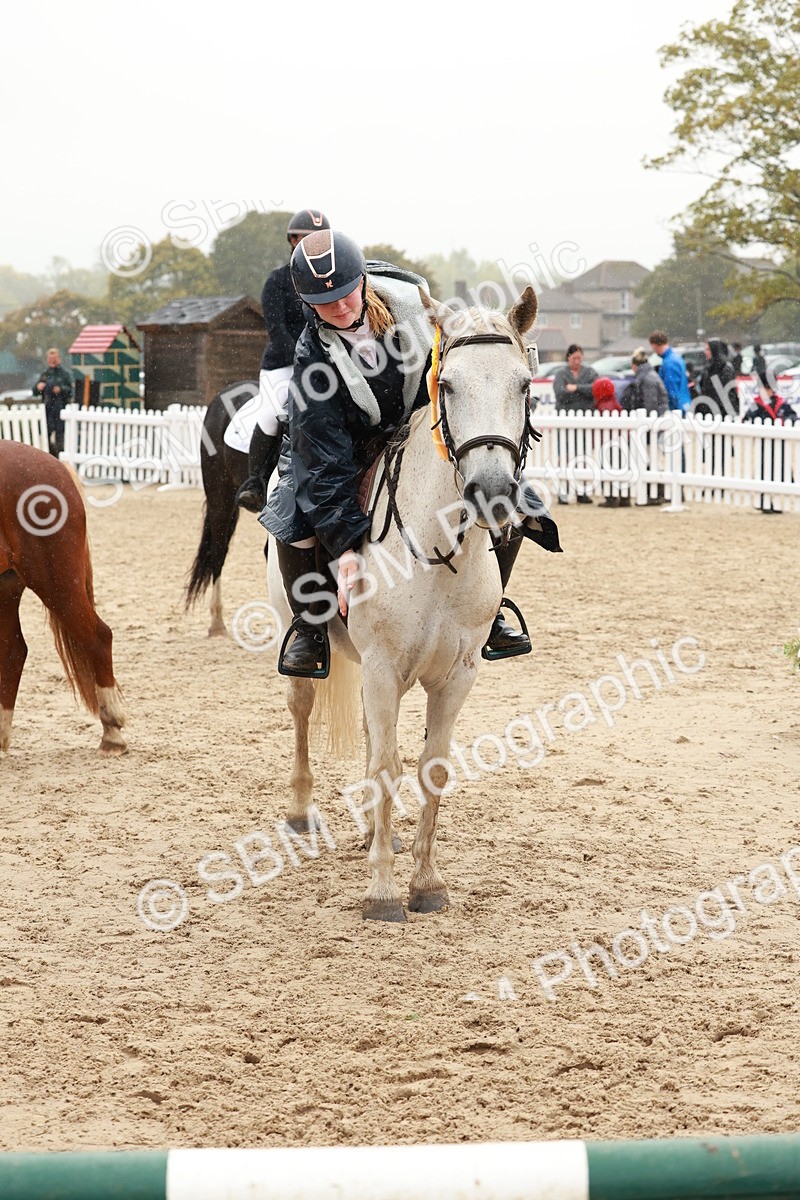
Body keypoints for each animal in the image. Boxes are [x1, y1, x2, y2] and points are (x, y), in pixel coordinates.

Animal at [0, 441, 126, 754]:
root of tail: (57, 466)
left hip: (56, 581)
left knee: (98, 636)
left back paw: (112, 733)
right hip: (8, 585)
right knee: (13, 651)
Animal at [266, 286, 540, 922]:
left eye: (522, 384)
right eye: (450, 386)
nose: (493, 493)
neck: (438, 548)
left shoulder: (456, 675)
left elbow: (430, 766)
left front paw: (425, 882)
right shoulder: (385, 668)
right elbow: (387, 767)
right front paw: (383, 892)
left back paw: (374, 833)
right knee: (302, 711)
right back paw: (302, 812)